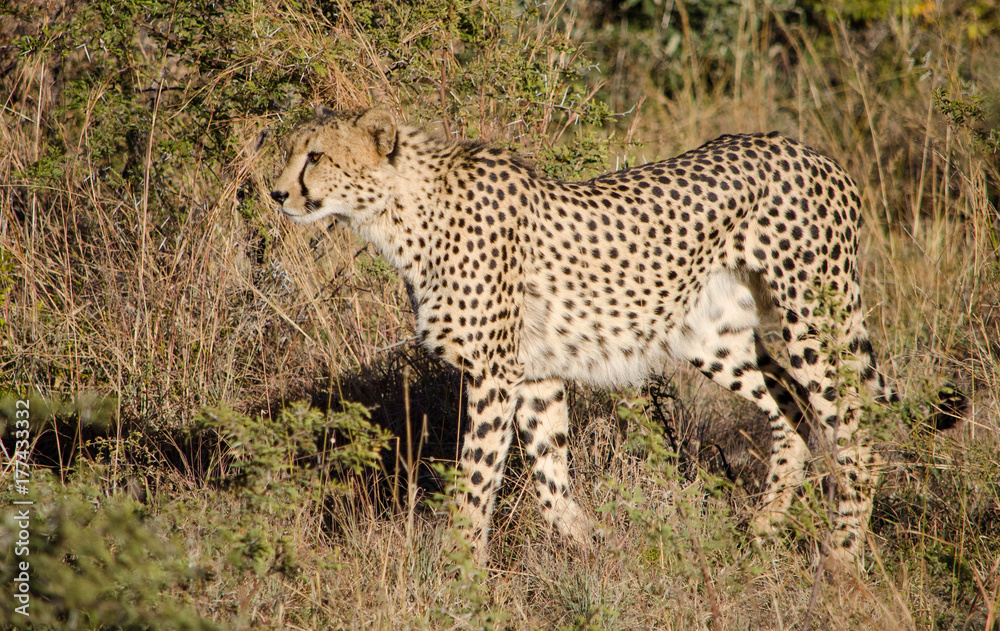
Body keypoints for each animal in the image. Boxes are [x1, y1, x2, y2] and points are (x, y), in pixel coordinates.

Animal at [270, 106, 929, 569]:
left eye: (316, 156)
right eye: (291, 153)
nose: (276, 193)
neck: (400, 213)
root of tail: (810, 150)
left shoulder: (493, 373)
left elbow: (477, 479)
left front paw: (459, 570)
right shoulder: (535, 373)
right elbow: (549, 475)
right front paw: (592, 544)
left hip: (814, 318)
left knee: (854, 435)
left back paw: (840, 559)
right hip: (710, 337)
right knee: (788, 403)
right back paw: (763, 527)